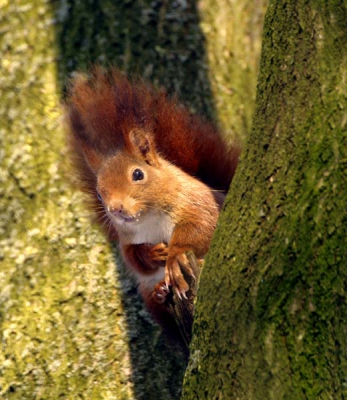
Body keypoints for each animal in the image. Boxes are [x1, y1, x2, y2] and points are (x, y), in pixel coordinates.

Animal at [64, 68, 239, 340]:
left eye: (138, 174)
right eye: (100, 195)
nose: (116, 209)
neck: (150, 219)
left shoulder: (198, 203)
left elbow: (201, 227)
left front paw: (175, 257)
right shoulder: (127, 240)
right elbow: (133, 259)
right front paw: (153, 253)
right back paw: (160, 291)